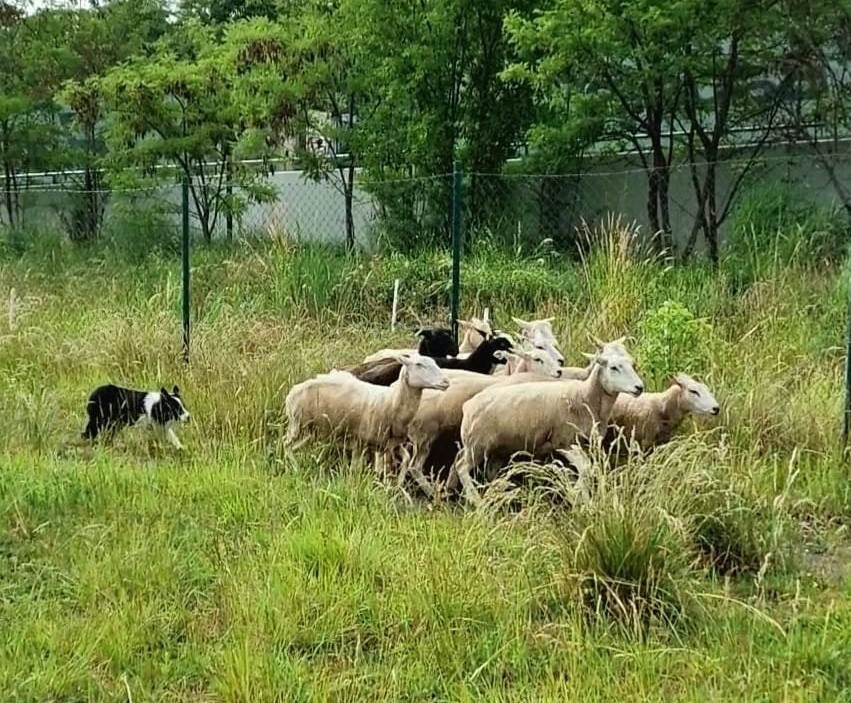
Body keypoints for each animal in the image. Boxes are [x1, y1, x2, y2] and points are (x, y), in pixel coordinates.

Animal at [284, 353, 450, 474]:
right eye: (419, 365)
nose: (446, 382)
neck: (391, 400)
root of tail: (293, 391)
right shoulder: (360, 442)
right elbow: (357, 469)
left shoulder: (389, 445)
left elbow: (404, 461)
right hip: (298, 426)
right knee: (286, 445)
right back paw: (294, 468)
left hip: (310, 432)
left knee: (293, 447)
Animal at [451, 340, 644, 506]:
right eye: (614, 367)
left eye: (632, 364)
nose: (639, 387)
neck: (584, 397)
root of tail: (468, 405)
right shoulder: (564, 442)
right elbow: (586, 469)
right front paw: (576, 495)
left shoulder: (588, 444)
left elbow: (593, 469)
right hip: (477, 446)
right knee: (461, 467)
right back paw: (477, 500)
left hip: (494, 449)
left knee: (477, 467)